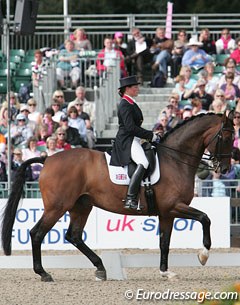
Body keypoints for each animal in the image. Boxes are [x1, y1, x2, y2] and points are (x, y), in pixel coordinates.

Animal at [0, 111, 234, 280]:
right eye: (226, 136)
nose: (224, 168)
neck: (175, 159)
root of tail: (47, 159)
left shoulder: (167, 213)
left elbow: (164, 243)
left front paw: (165, 272)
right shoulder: (174, 206)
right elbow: (205, 218)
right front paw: (203, 255)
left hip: (81, 206)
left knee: (74, 236)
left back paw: (101, 268)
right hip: (57, 207)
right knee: (37, 233)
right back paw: (44, 273)